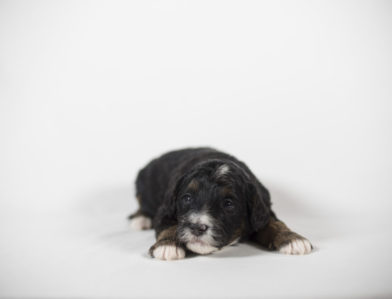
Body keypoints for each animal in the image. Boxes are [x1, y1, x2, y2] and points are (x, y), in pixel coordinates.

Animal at [129, 149, 312, 262]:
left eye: (228, 204)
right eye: (187, 198)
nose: (197, 228)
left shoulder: (263, 210)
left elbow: (274, 224)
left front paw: (293, 239)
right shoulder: (166, 209)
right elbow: (169, 226)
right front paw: (167, 246)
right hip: (142, 182)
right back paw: (140, 219)